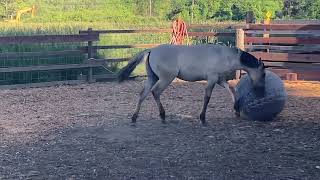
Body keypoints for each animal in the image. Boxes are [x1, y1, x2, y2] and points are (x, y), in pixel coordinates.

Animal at [117, 44, 264, 125]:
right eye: (263, 74)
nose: (260, 90)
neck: (225, 56)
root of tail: (152, 50)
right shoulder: (212, 79)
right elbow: (207, 98)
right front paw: (202, 118)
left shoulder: (220, 80)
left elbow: (232, 90)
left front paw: (237, 109)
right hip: (166, 78)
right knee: (155, 92)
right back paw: (163, 116)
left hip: (152, 78)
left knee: (143, 94)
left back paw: (134, 117)